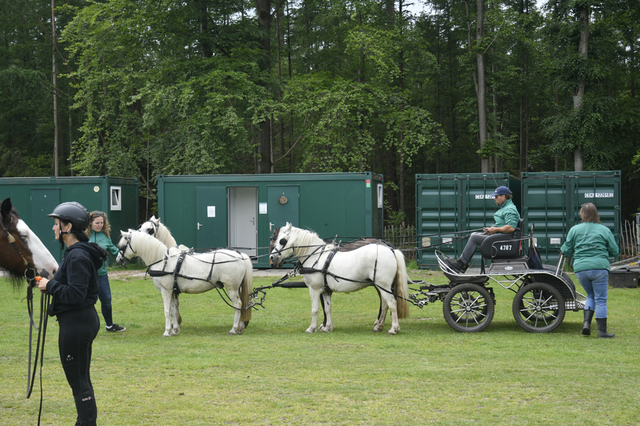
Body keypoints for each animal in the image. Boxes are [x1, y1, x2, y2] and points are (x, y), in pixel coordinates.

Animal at [117, 230, 252, 336]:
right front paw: (175, 330)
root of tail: (240, 256)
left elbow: (167, 311)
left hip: (232, 288)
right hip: (237, 288)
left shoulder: (166, 291)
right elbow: (173, 310)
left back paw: (234, 329)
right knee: (243, 304)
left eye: (121, 247)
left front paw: (167, 331)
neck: (162, 260)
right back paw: (240, 327)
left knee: (238, 304)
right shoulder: (172, 291)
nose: (118, 260)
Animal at [268, 221, 410, 334]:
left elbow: (315, 309)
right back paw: (378, 326)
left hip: (383, 285)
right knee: (385, 304)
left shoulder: (314, 290)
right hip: (381, 286)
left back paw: (393, 328)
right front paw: (327, 327)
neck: (316, 256)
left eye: (281, 240)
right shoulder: (325, 291)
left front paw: (312, 328)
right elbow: (327, 308)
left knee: (392, 303)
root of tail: (391, 250)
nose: (272, 258)